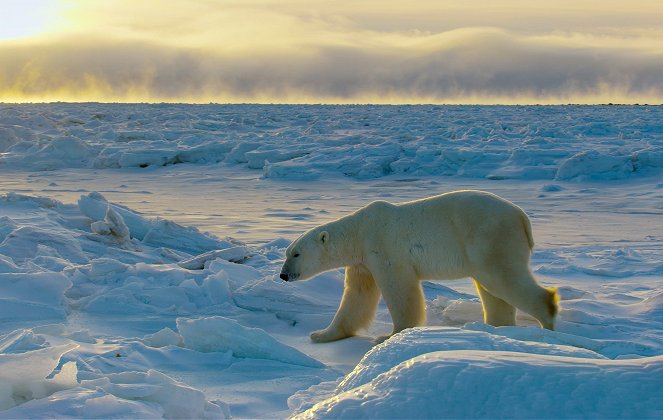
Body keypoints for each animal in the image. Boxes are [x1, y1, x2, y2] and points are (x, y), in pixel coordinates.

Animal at [278, 192, 556, 342]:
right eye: (287, 253)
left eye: (296, 253)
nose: (283, 275)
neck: (359, 231)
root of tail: (521, 216)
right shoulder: (362, 261)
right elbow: (356, 297)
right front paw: (321, 334)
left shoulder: (385, 247)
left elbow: (400, 290)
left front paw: (390, 335)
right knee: (493, 290)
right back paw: (497, 328)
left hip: (489, 237)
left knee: (502, 278)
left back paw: (547, 320)